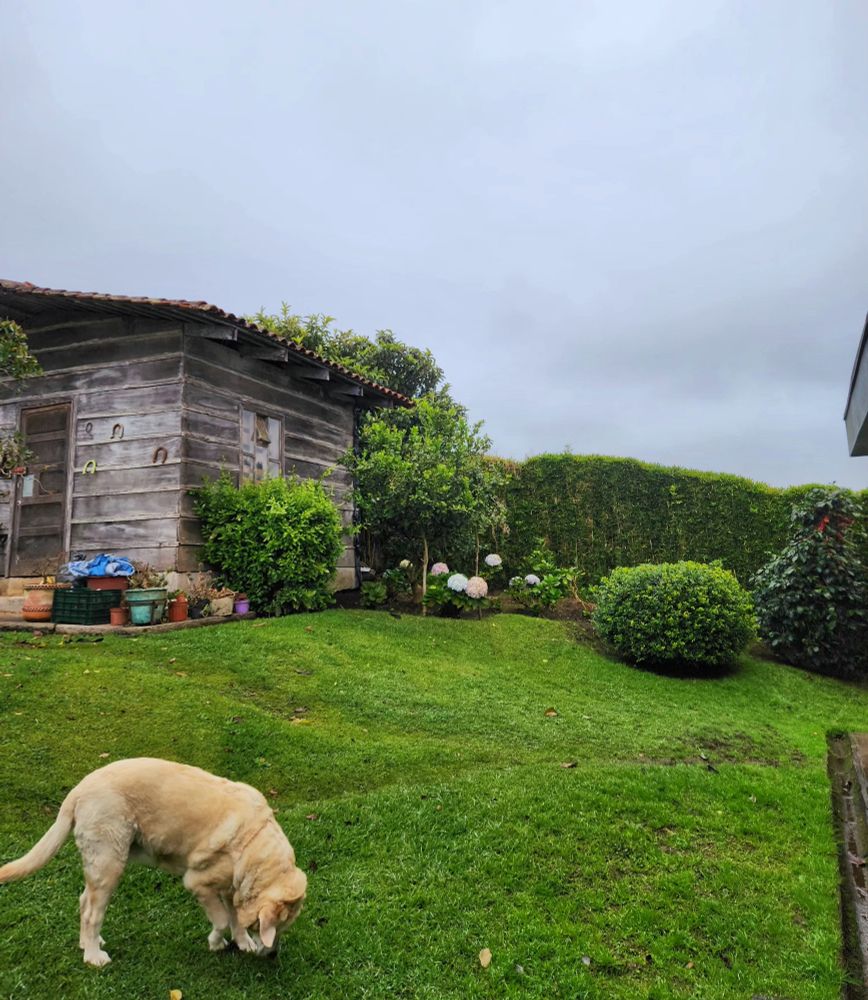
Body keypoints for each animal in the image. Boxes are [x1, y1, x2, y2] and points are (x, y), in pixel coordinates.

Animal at [0, 760, 308, 964]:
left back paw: (88, 943)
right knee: (92, 913)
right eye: (274, 929)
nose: (273, 954)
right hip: (110, 863)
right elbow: (221, 919)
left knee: (84, 900)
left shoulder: (232, 887)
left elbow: (234, 917)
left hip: (99, 863)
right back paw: (94, 956)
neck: (254, 840)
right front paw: (216, 943)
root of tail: (78, 790)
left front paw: (243, 942)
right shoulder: (197, 883)